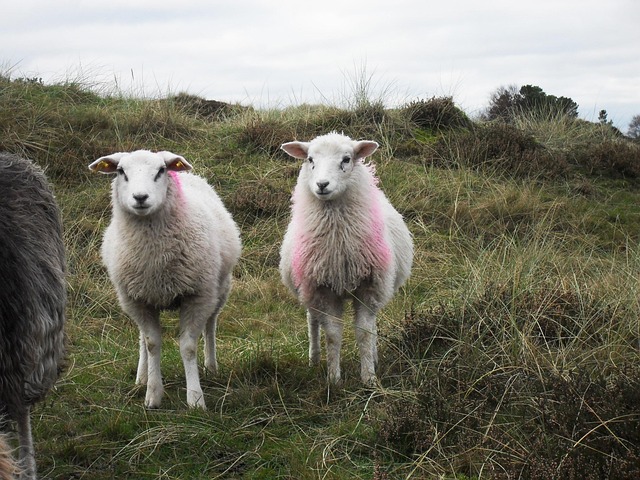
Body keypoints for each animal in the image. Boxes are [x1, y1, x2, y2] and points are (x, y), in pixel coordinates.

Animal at [89, 150, 241, 409]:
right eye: (121, 171)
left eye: (160, 171)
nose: (140, 197)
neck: (155, 258)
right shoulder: (138, 299)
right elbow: (152, 344)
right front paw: (153, 393)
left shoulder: (197, 295)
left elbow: (188, 347)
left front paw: (195, 398)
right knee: (142, 338)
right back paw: (141, 376)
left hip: (219, 288)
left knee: (211, 324)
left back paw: (211, 366)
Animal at [279, 132, 413, 385]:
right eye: (310, 159)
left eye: (346, 159)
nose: (322, 185)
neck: (339, 243)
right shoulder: (323, 289)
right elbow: (332, 335)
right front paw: (334, 380)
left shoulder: (369, 287)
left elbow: (365, 333)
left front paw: (369, 377)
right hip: (307, 285)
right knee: (312, 320)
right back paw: (314, 359)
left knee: (373, 324)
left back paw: (374, 357)